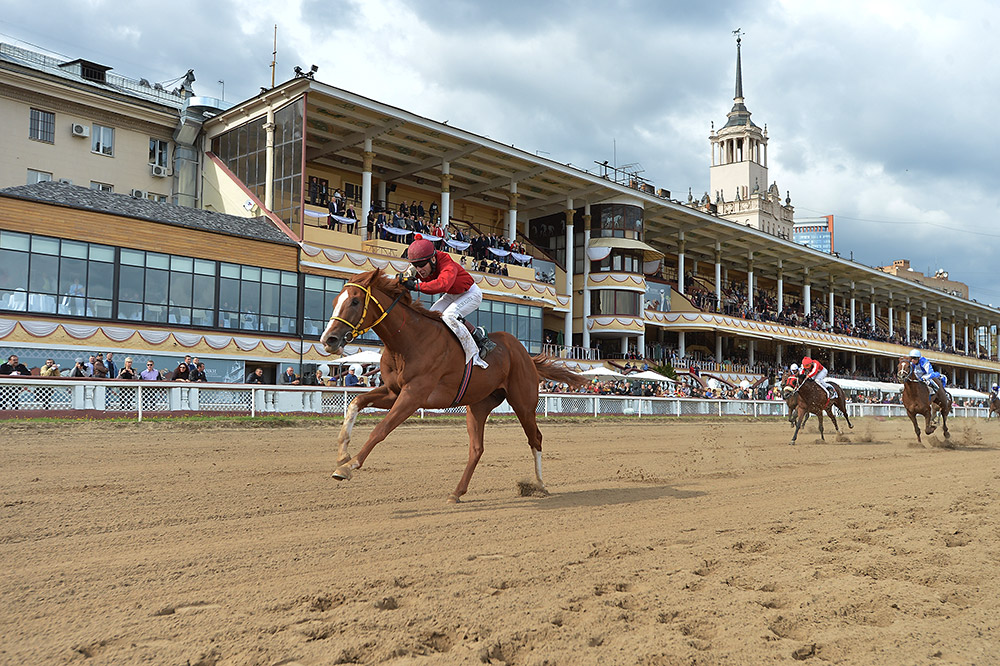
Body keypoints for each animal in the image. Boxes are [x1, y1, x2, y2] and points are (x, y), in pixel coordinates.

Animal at [318, 268, 584, 500]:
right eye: (334, 302)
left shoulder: (413, 395)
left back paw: (539, 484)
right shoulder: (395, 392)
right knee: (476, 448)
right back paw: (457, 492)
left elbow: (380, 429)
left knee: (535, 438)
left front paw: (348, 466)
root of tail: (525, 354)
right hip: (478, 405)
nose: (328, 339)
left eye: (354, 302)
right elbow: (357, 401)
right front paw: (342, 453)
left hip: (523, 403)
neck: (407, 341)